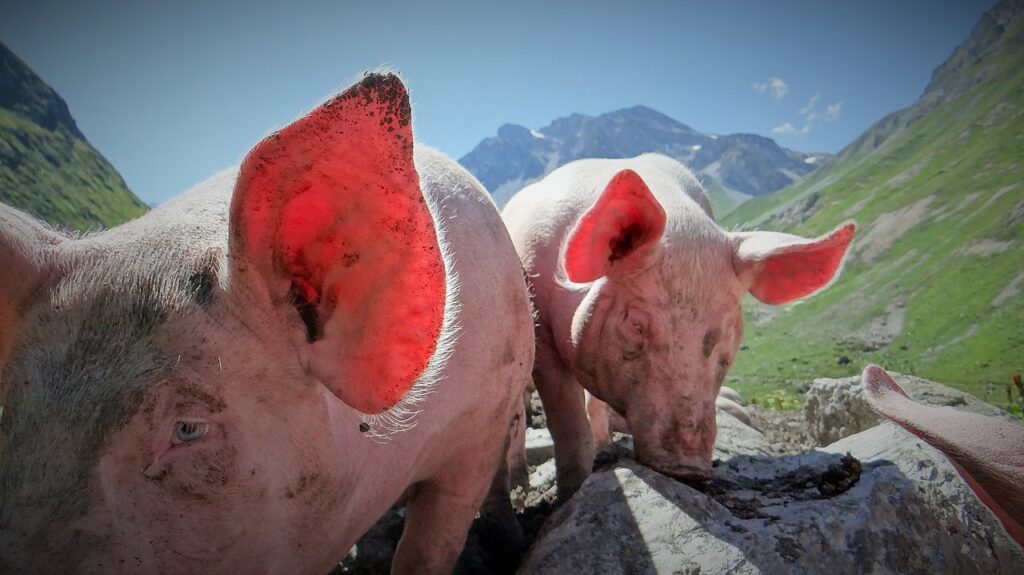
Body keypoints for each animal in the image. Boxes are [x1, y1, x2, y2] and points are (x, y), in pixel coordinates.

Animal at [499, 155, 851, 497]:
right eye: (637, 324)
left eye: (725, 333)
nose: (688, 466)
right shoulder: (542, 331)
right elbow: (568, 423)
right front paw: (571, 491)